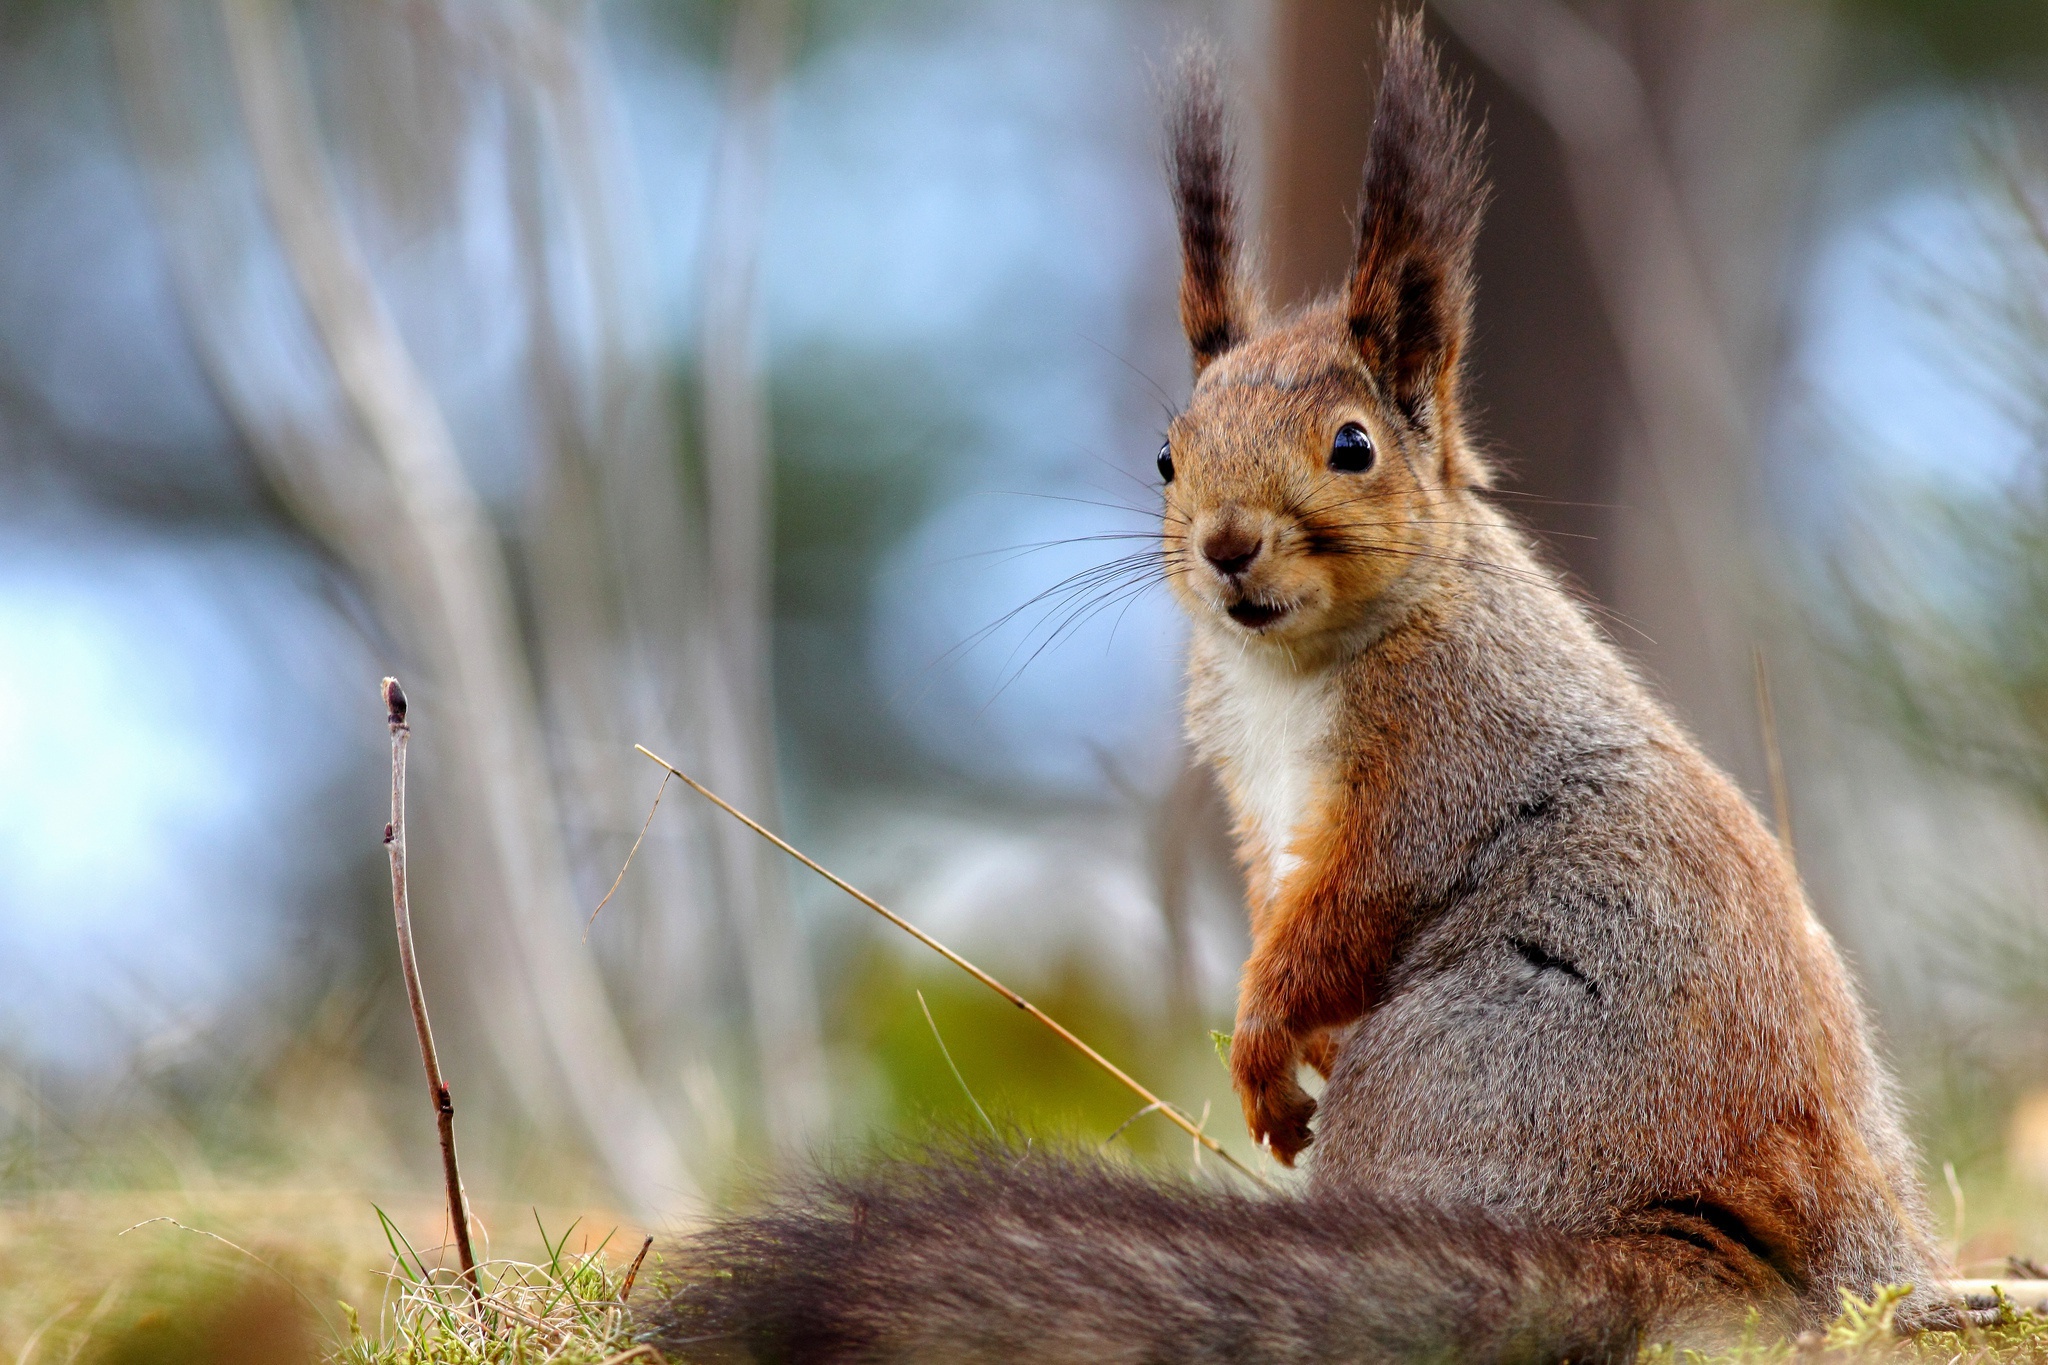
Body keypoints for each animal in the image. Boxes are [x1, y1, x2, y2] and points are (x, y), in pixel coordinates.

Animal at [647, 15, 1957, 1358]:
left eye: (1351, 446)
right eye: (1165, 455)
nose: (1226, 543)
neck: (1292, 667)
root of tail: (1743, 1268)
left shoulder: (1440, 751)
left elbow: (1347, 909)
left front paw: (1261, 1044)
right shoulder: (1254, 792)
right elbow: (1285, 905)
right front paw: (1275, 1059)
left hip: (1472, 1065)